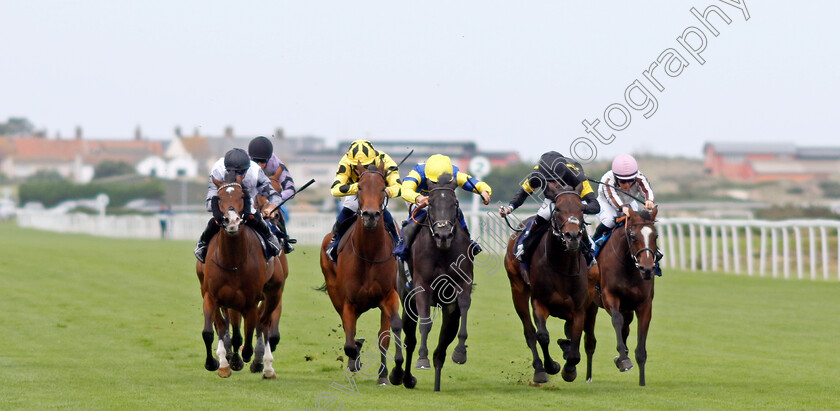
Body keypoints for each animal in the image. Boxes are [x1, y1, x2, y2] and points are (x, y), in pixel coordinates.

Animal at [195, 176, 284, 380]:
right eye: (219, 198)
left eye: (242, 196)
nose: (232, 220)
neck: (232, 259)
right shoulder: (211, 296)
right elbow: (210, 332)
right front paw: (214, 362)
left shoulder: (249, 301)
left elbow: (248, 332)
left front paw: (245, 357)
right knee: (225, 326)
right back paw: (226, 361)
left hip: (273, 293)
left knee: (264, 323)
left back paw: (263, 364)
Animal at [318, 161, 404, 386]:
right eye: (361, 187)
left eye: (383, 188)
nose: (371, 216)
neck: (369, 255)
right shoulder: (349, 301)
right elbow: (349, 341)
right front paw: (354, 359)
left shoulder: (389, 295)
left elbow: (388, 334)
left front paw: (387, 374)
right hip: (335, 293)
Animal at [392, 174, 472, 392]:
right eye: (432, 203)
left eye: (454, 203)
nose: (443, 235)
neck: (442, 251)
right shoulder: (423, 287)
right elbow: (425, 323)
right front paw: (422, 359)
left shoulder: (463, 282)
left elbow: (464, 305)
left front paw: (460, 352)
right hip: (407, 302)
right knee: (410, 340)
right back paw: (403, 377)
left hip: (448, 312)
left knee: (442, 345)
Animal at [506, 182, 592, 384]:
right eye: (558, 208)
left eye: (582, 209)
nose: (572, 236)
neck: (562, 267)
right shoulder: (539, 302)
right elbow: (542, 336)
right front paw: (551, 366)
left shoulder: (579, 308)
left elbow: (575, 339)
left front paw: (569, 369)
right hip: (517, 289)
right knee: (529, 332)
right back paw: (539, 369)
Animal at [580, 209, 660, 386]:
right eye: (633, 236)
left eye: (656, 235)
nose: (647, 269)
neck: (628, 265)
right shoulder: (609, 296)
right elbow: (616, 320)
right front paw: (623, 359)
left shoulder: (645, 305)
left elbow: (641, 346)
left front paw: (642, 381)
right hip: (590, 306)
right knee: (590, 340)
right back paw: (588, 377)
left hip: (627, 309)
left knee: (626, 327)